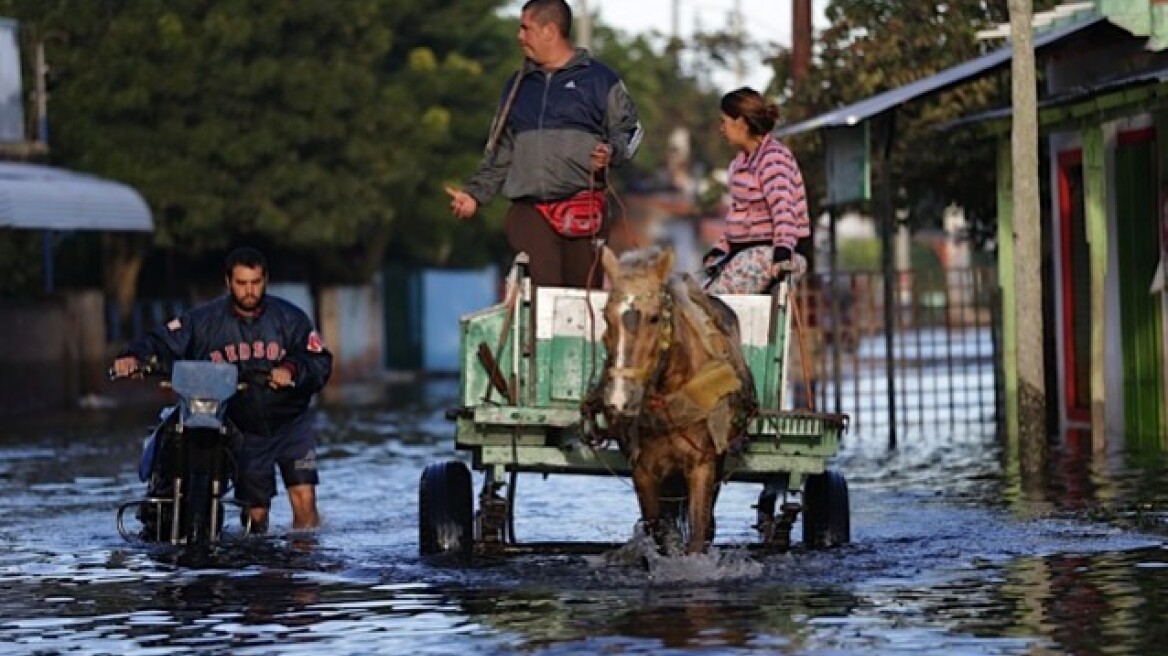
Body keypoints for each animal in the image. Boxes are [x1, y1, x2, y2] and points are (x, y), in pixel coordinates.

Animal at [593, 245, 756, 550]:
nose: (621, 398)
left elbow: (698, 534)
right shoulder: (643, 472)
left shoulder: (703, 466)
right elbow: (659, 532)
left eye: (655, 317)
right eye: (606, 316)